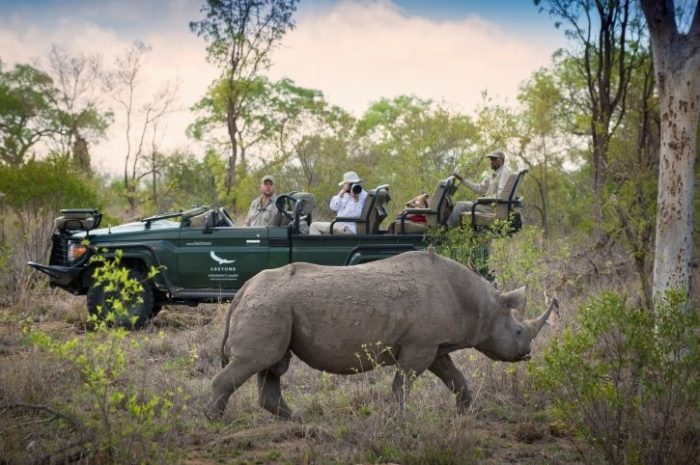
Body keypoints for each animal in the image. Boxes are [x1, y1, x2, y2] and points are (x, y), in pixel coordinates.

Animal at [207, 250, 557, 419]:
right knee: (257, 360)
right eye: (518, 331)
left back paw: (298, 422)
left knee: (273, 365)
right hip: (269, 306)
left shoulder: (434, 345)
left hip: (274, 306)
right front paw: (403, 420)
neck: (480, 302)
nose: (526, 354)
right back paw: (216, 421)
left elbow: (455, 378)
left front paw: (467, 413)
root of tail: (243, 290)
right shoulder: (420, 346)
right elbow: (403, 384)